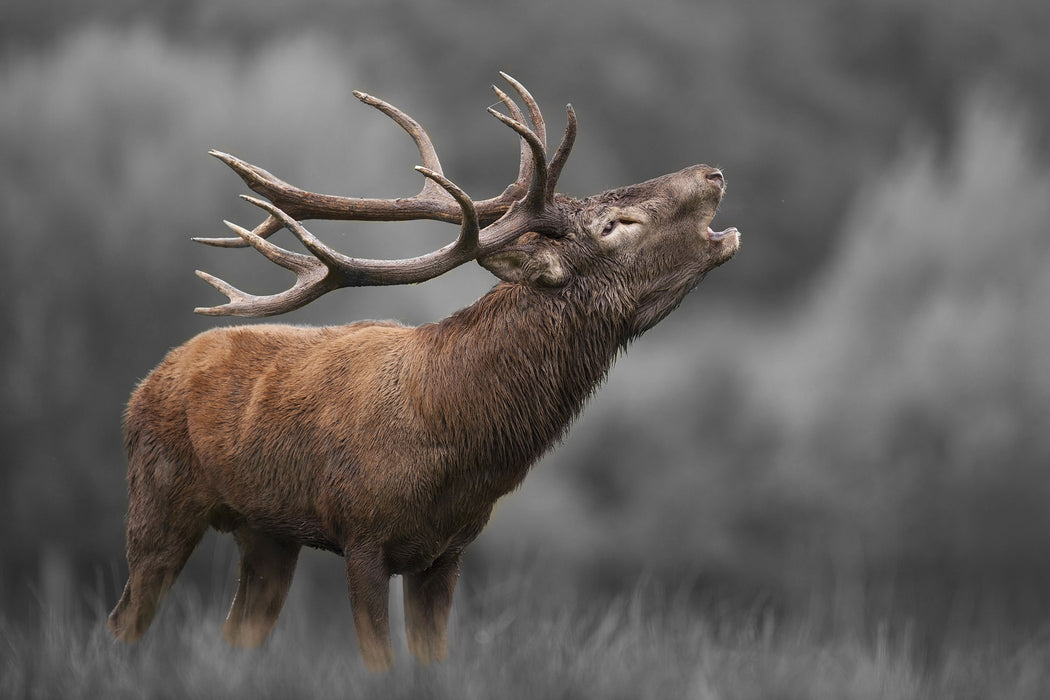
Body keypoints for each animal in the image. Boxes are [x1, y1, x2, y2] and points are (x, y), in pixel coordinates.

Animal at [108, 73, 739, 671]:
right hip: (157, 498)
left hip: (266, 533)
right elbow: (379, 658)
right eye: (615, 224)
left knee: (237, 631)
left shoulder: (448, 550)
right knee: (125, 619)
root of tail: (145, 384)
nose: (712, 173)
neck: (457, 444)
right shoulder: (362, 534)